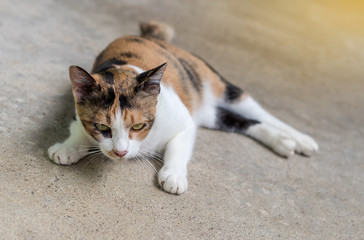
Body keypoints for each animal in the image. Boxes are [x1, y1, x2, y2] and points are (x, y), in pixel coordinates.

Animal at [49, 21, 318, 195]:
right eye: (102, 127)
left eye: (138, 126)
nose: (121, 152)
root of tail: (152, 38)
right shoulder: (78, 110)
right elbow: (77, 128)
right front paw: (67, 147)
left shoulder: (184, 121)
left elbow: (178, 147)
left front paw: (173, 176)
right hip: (209, 113)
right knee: (243, 122)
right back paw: (282, 142)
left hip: (215, 84)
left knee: (257, 111)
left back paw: (301, 139)